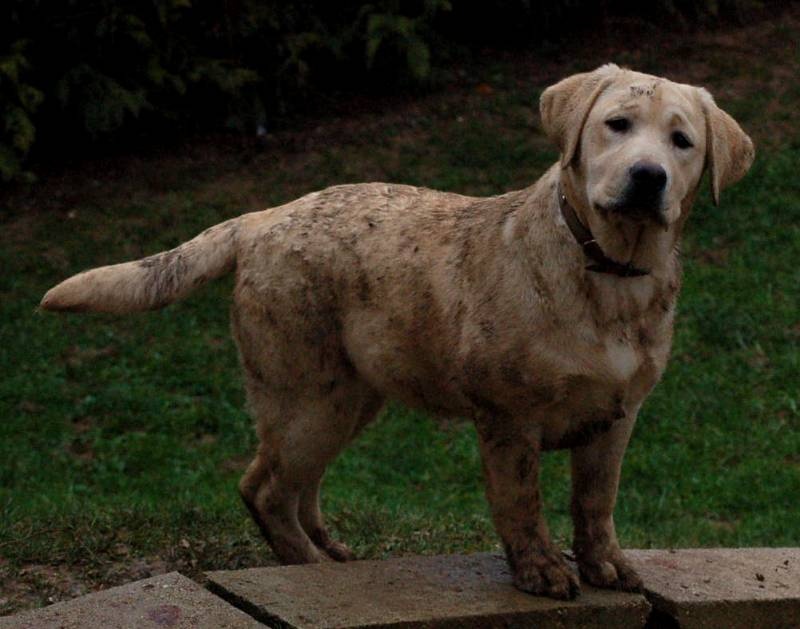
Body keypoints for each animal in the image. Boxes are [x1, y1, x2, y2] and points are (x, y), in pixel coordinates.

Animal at [40, 63, 752, 600]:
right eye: (617, 126)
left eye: (682, 142)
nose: (647, 177)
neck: (607, 273)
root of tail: (260, 218)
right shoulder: (508, 416)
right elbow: (521, 503)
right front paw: (541, 572)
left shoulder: (617, 415)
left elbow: (596, 501)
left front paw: (605, 565)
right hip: (310, 395)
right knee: (265, 487)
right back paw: (311, 570)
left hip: (351, 396)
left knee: (295, 483)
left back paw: (330, 551)